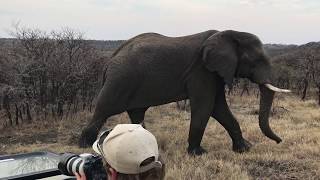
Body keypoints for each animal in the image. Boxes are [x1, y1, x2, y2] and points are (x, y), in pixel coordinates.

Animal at [79, 29, 290, 155]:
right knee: (103, 109)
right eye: (256, 61)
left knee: (136, 113)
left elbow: (219, 108)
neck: (227, 33)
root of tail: (111, 59)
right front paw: (198, 153)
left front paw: (244, 149)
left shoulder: (214, 72)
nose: (280, 141)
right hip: (120, 80)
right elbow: (206, 106)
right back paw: (83, 145)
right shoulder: (202, 71)